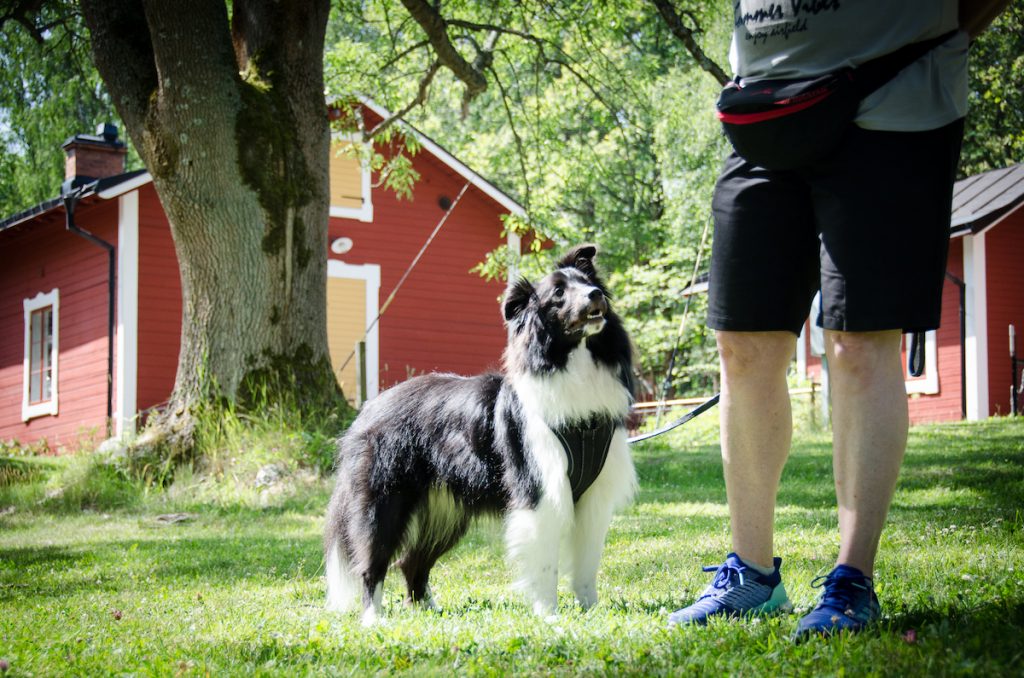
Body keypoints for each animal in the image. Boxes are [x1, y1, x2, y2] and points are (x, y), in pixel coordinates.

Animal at [323, 244, 634, 626]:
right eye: (558, 293)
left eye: (589, 282)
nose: (595, 295)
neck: (571, 362)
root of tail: (369, 408)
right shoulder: (540, 490)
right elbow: (545, 564)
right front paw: (548, 615)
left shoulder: (593, 498)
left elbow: (587, 565)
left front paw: (591, 610)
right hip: (385, 501)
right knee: (373, 561)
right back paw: (373, 619)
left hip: (444, 511)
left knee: (411, 561)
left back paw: (429, 609)